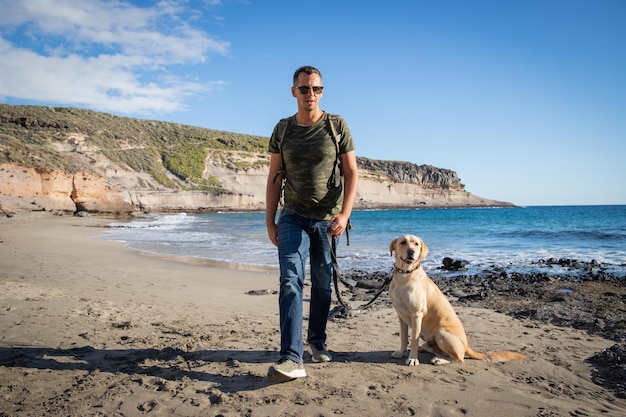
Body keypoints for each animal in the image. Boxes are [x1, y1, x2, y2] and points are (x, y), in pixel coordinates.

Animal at [388, 236, 524, 366]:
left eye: (416, 244)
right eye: (403, 242)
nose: (411, 251)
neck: (404, 274)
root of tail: (466, 345)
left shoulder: (417, 315)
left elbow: (414, 340)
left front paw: (412, 359)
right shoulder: (401, 315)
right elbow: (404, 337)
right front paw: (401, 353)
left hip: (441, 332)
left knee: (459, 358)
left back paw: (439, 360)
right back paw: (429, 350)